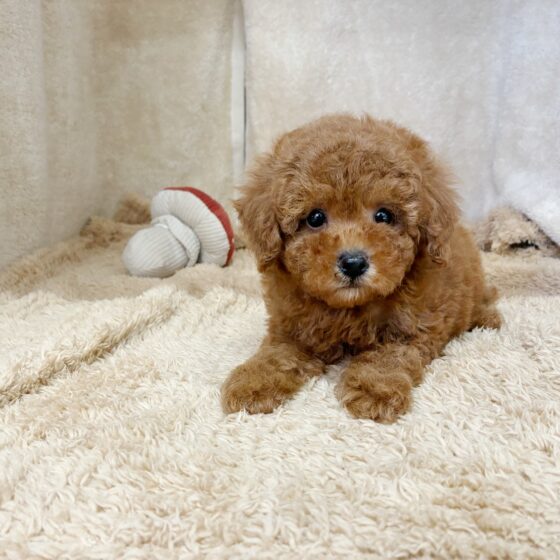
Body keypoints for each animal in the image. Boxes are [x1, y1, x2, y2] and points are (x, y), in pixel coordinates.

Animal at [222, 114, 501, 423]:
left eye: (384, 215)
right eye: (315, 217)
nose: (353, 263)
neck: (350, 308)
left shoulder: (410, 332)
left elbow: (386, 359)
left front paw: (373, 391)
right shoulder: (290, 328)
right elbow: (276, 354)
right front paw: (253, 383)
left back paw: (487, 318)